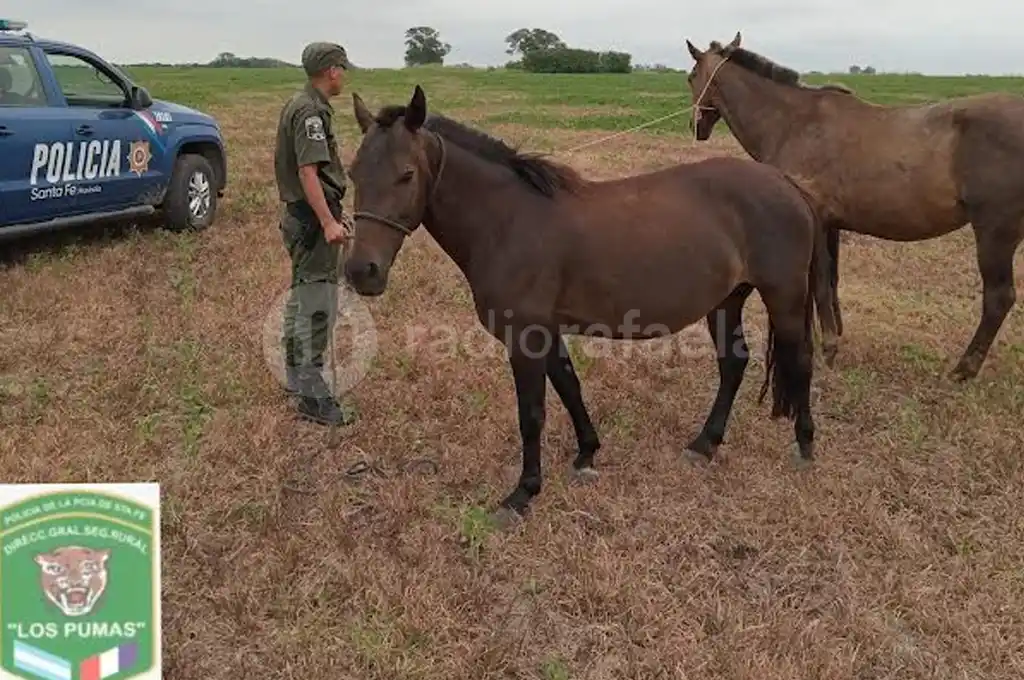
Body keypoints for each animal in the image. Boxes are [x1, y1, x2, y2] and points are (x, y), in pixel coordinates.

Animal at [342, 84, 830, 525]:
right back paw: (704, 445)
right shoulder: (546, 331)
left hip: (784, 296)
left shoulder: (525, 337)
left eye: (406, 174)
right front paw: (586, 454)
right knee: (733, 364)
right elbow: (569, 386)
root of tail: (786, 183)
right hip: (727, 301)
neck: (508, 221)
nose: (362, 271)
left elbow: (532, 414)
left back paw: (805, 445)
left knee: (801, 360)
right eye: (352, 174)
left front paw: (522, 494)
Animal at [684, 31, 1024, 381]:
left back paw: (964, 369)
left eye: (691, 76)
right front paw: (834, 333)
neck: (794, 123)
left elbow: (819, 282)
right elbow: (831, 281)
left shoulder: (815, 220)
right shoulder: (832, 223)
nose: (697, 127)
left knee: (999, 298)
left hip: (995, 232)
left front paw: (828, 346)